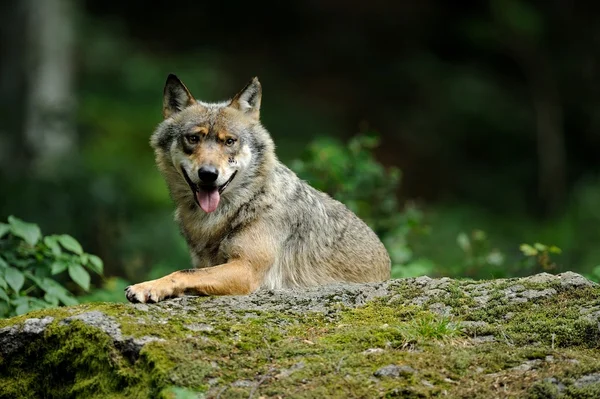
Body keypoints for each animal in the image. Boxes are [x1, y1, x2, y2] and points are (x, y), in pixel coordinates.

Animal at [124, 75, 392, 304]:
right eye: (193, 139)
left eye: (229, 141)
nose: (208, 174)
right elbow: (189, 272)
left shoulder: (246, 270)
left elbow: (183, 272)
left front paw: (146, 287)